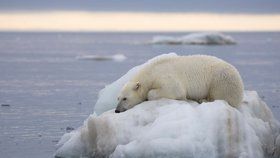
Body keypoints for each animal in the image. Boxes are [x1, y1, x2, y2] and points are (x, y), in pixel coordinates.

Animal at [115, 55, 244, 113]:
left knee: (221, 96)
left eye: (125, 98)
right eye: (118, 98)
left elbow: (174, 91)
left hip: (222, 79)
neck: (151, 72)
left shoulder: (166, 78)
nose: (117, 110)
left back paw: (203, 99)